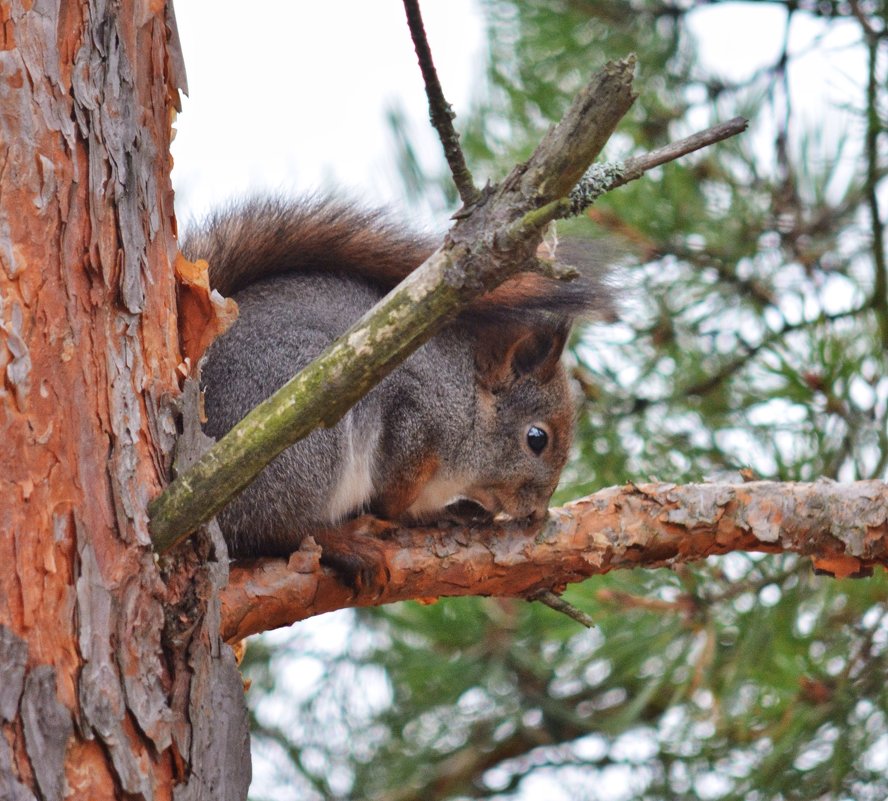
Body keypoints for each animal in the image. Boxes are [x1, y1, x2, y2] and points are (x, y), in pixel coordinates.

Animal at [180, 194, 612, 580]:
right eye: (537, 438)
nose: (538, 512)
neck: (469, 399)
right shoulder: (413, 415)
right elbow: (395, 492)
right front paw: (408, 513)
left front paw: (449, 512)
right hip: (300, 438)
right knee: (272, 531)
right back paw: (345, 543)